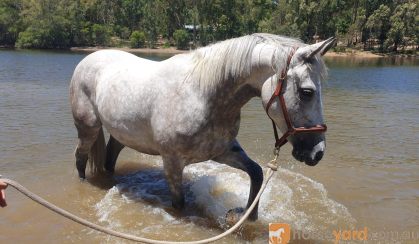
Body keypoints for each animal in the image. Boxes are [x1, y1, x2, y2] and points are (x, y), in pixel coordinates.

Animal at [70, 33, 336, 222]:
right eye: (307, 92)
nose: (317, 152)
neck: (202, 94)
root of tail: (87, 59)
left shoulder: (221, 151)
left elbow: (257, 173)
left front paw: (244, 216)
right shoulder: (172, 161)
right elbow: (179, 204)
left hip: (122, 134)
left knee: (110, 156)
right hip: (88, 129)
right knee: (80, 158)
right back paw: (83, 185)